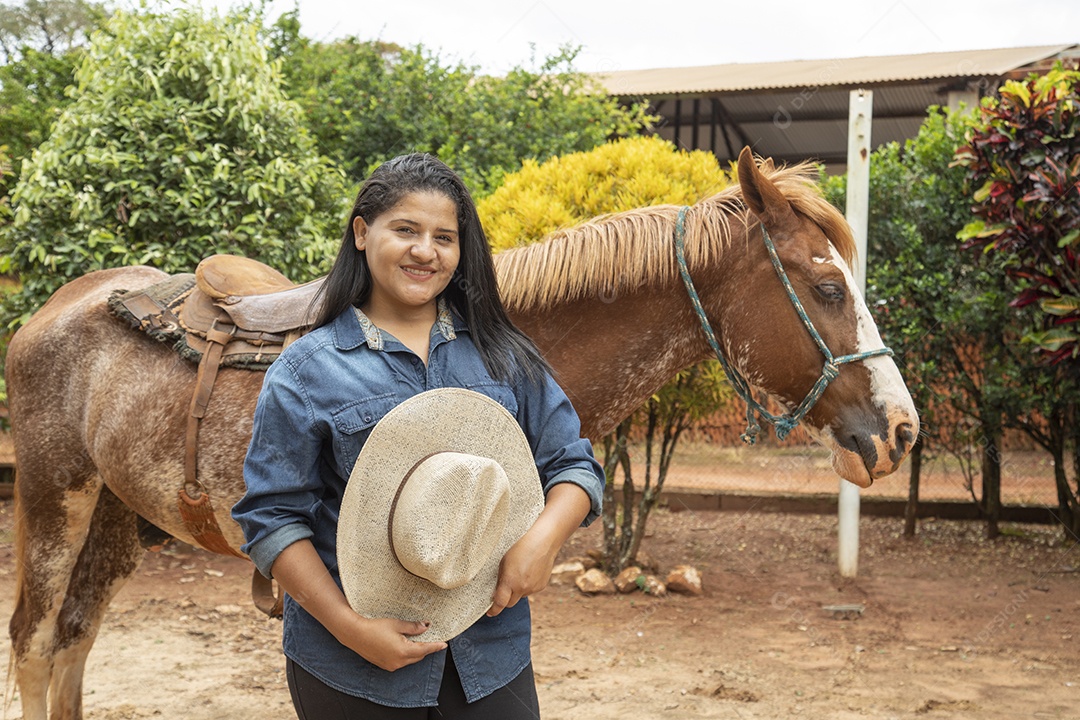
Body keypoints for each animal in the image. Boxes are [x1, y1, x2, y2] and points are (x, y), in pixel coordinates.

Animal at [5, 148, 918, 719]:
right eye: (828, 287)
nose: (902, 429)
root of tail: (57, 307)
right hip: (54, 496)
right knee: (36, 643)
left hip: (119, 514)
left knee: (77, 639)